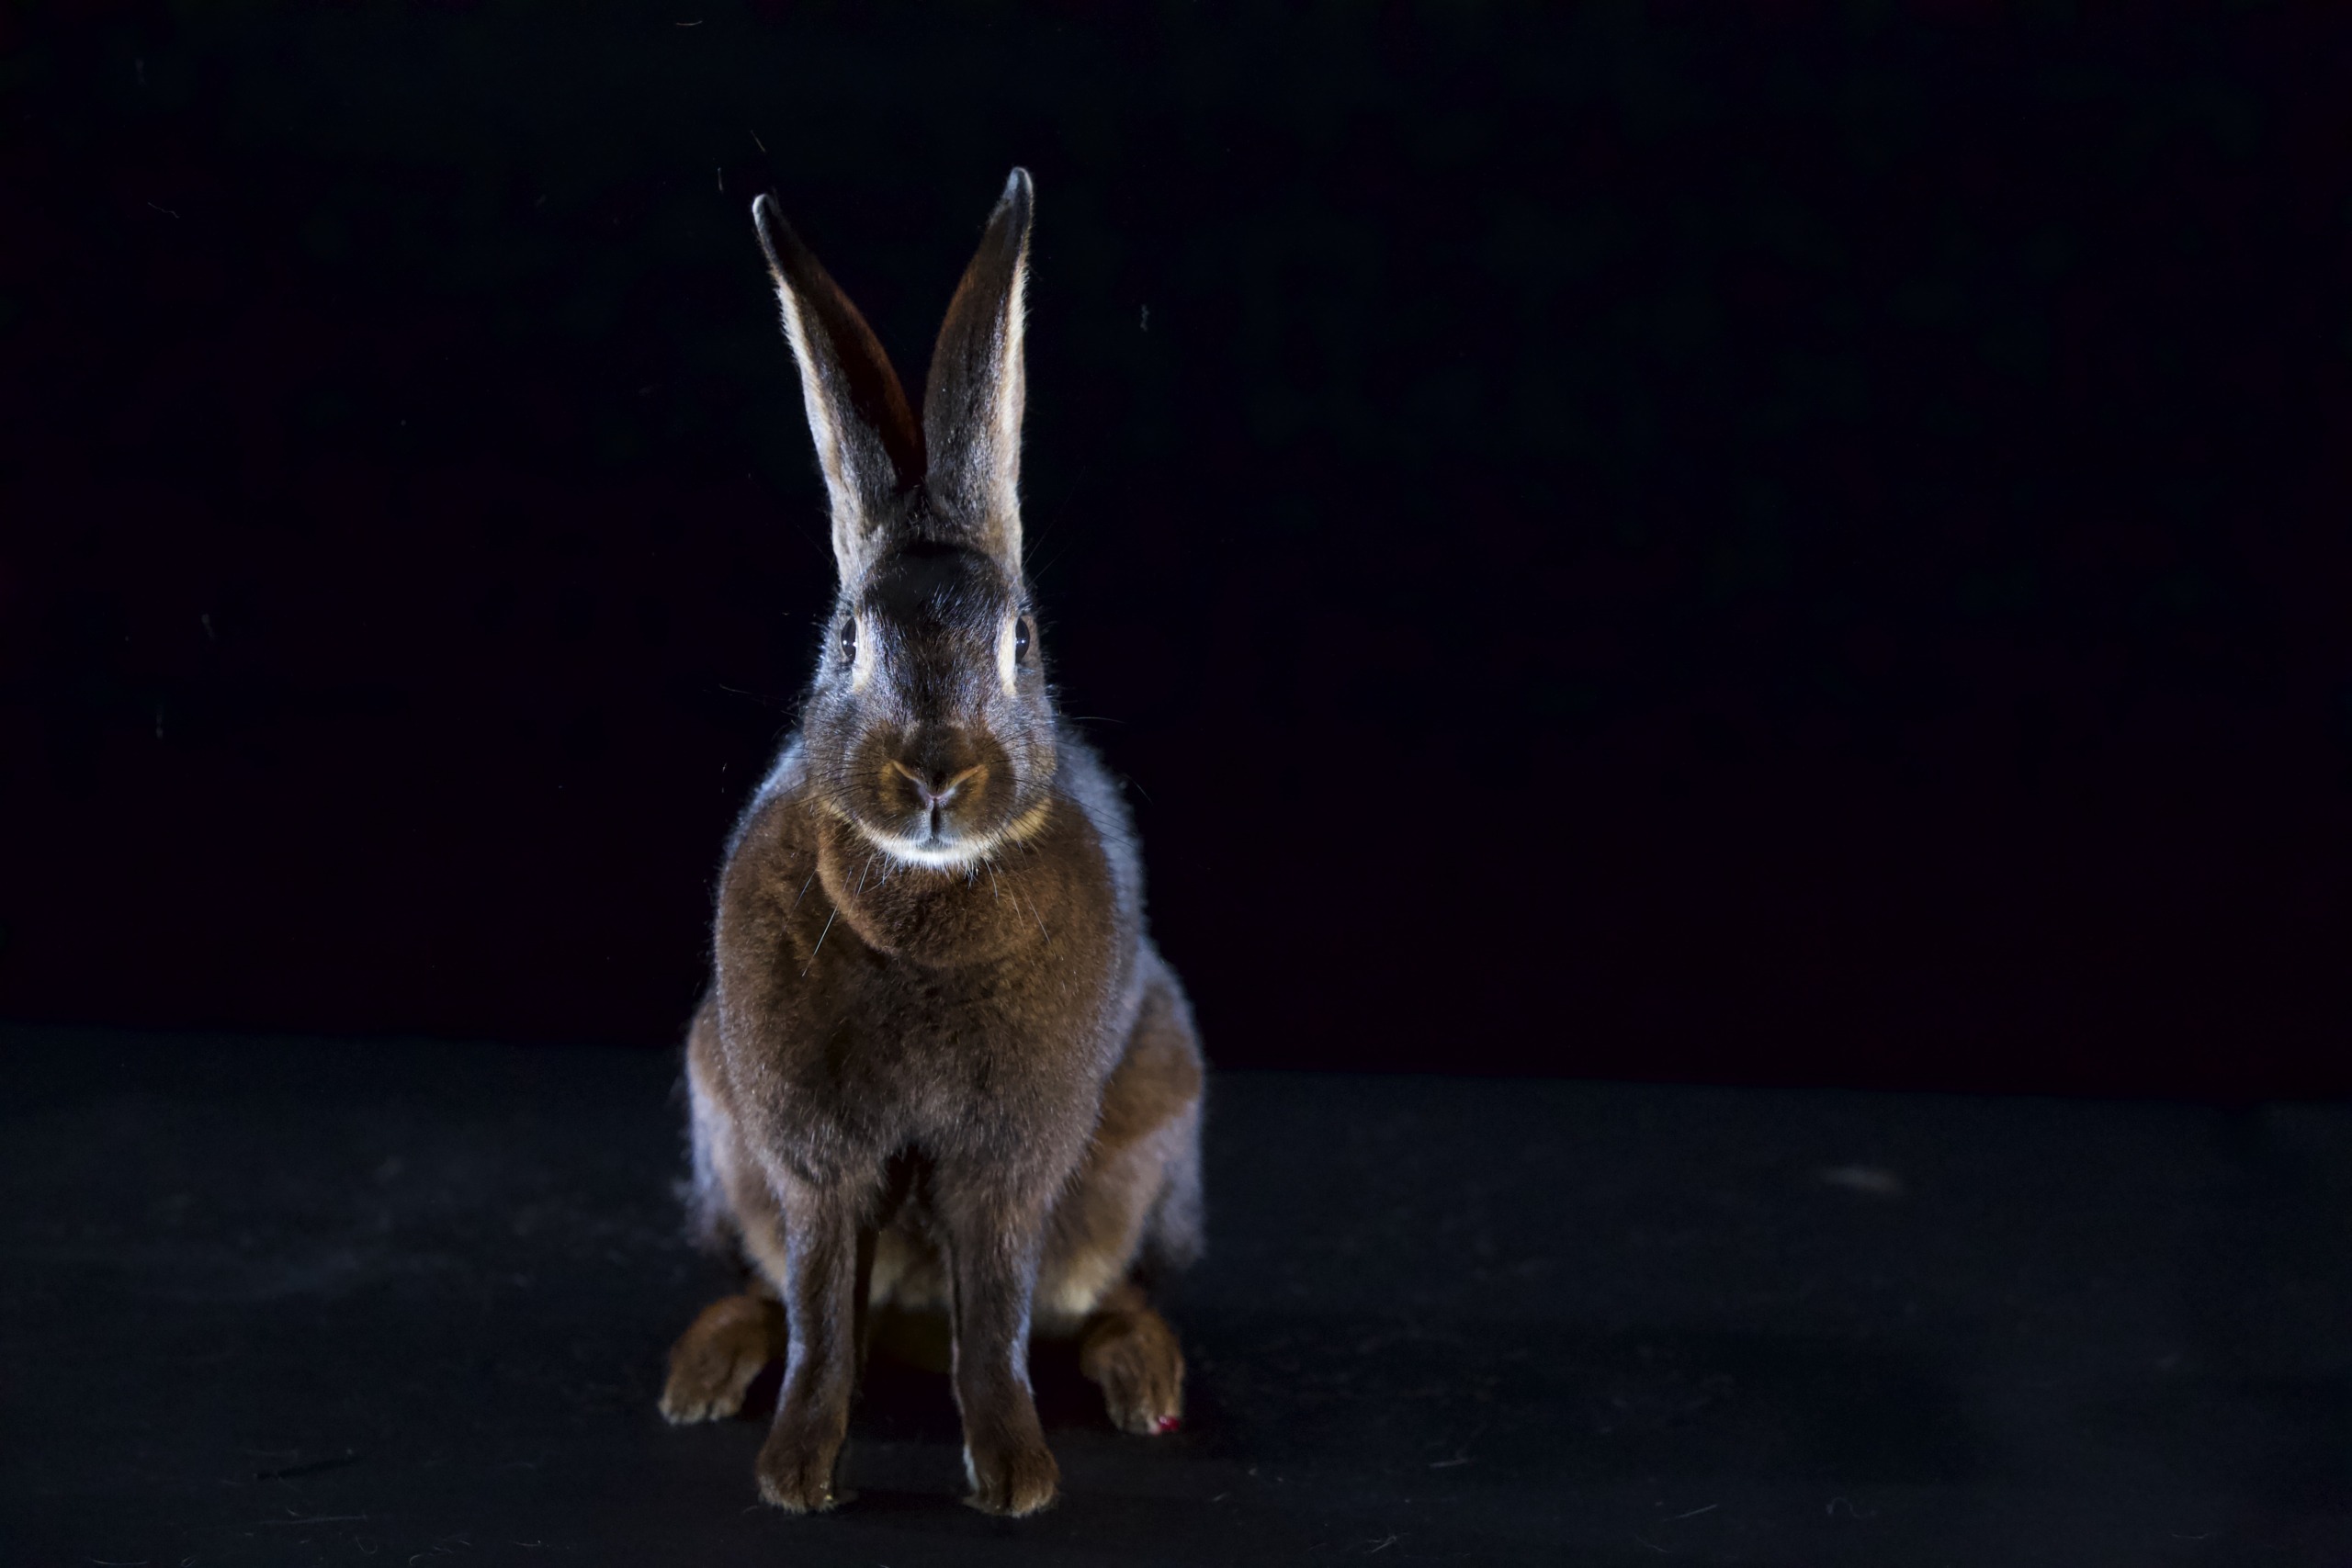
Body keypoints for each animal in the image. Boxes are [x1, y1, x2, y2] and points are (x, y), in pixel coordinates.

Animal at [662, 171, 1213, 1523]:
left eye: (1020, 642)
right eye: (847, 642)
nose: (933, 773)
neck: (919, 897)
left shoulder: (1009, 1165)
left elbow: (997, 1315)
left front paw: (1015, 1479)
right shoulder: (811, 1160)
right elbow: (819, 1312)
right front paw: (795, 1478)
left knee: (1102, 1297)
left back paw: (1146, 1383)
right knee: (773, 1290)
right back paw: (701, 1372)